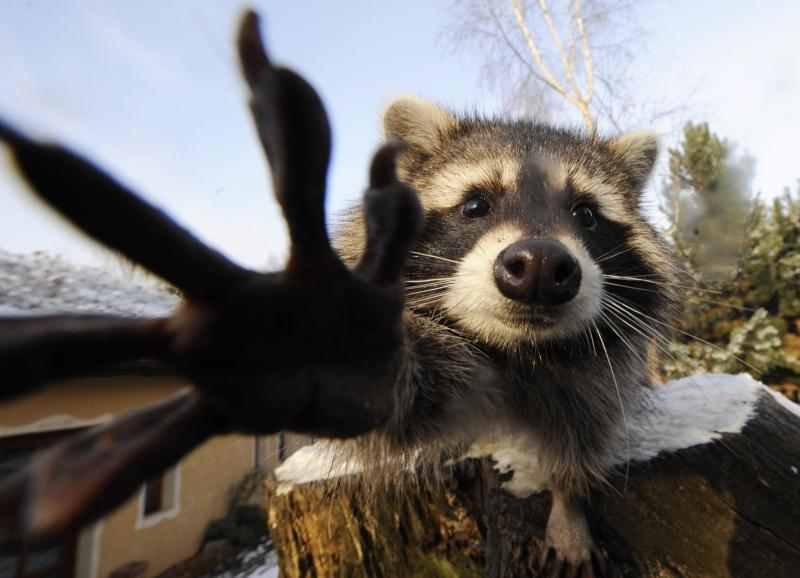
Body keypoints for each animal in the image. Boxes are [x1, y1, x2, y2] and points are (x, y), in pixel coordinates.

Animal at [332, 97, 676, 568]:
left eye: (586, 214)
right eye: (476, 205)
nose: (541, 267)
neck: (518, 348)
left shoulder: (602, 374)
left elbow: (585, 430)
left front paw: (568, 503)